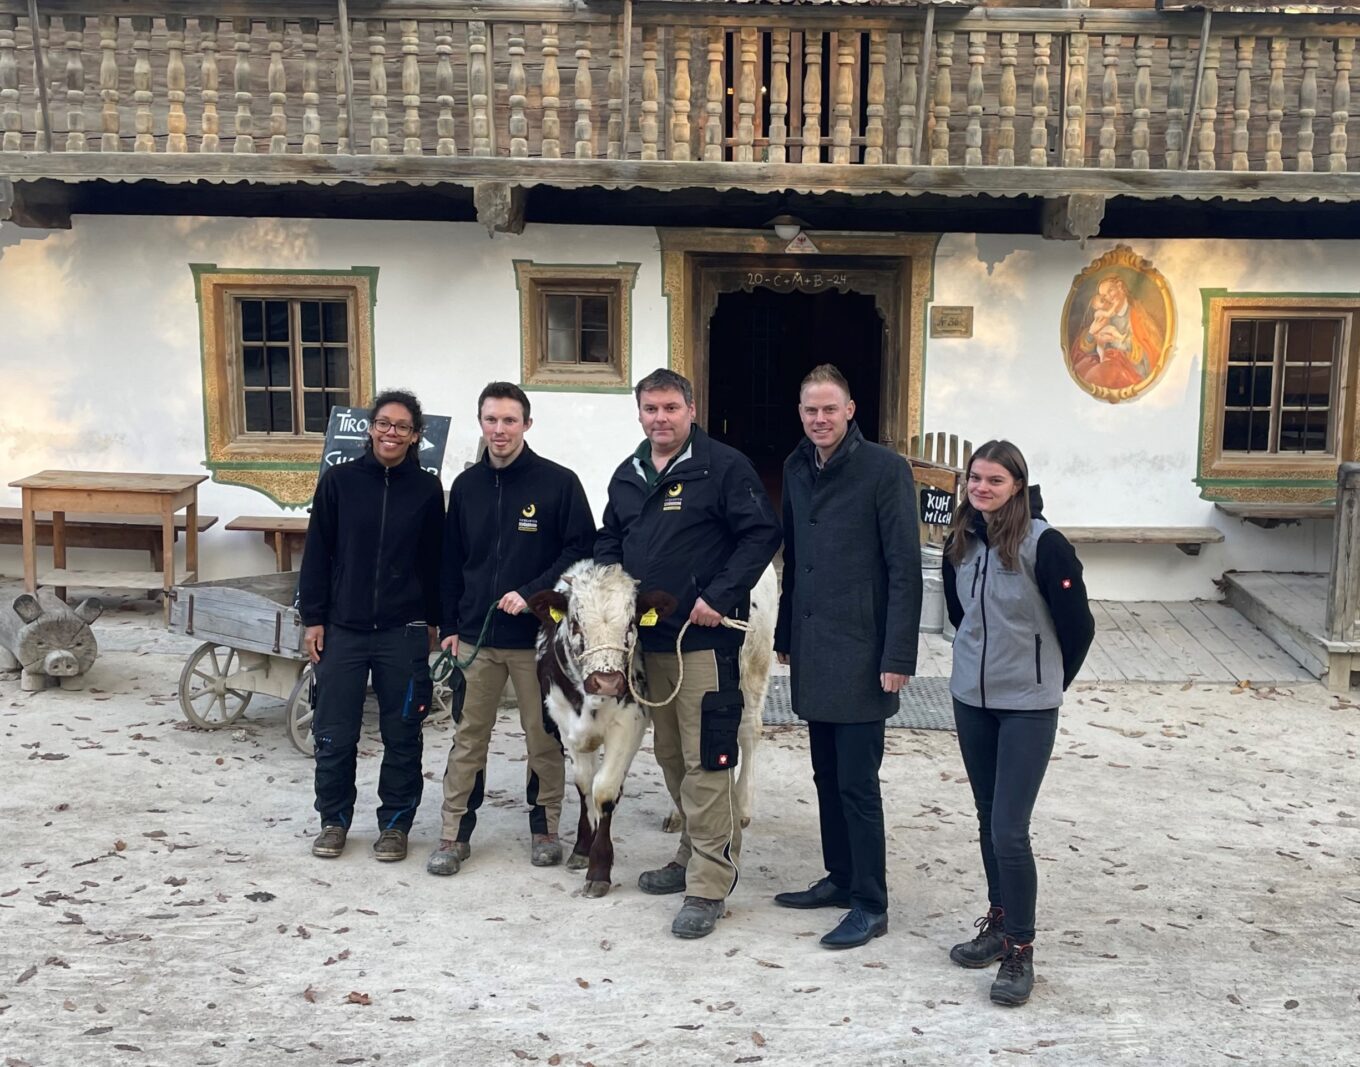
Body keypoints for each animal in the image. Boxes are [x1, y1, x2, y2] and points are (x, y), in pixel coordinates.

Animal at [527, 562, 777, 897]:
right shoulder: (565, 723)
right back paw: (676, 814)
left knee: (749, 732)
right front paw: (581, 848)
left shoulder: (629, 723)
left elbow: (604, 789)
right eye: (576, 624)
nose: (607, 682)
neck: (585, 700)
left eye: (631, 624)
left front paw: (599, 868)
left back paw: (744, 805)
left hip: (753, 667)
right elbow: (583, 784)